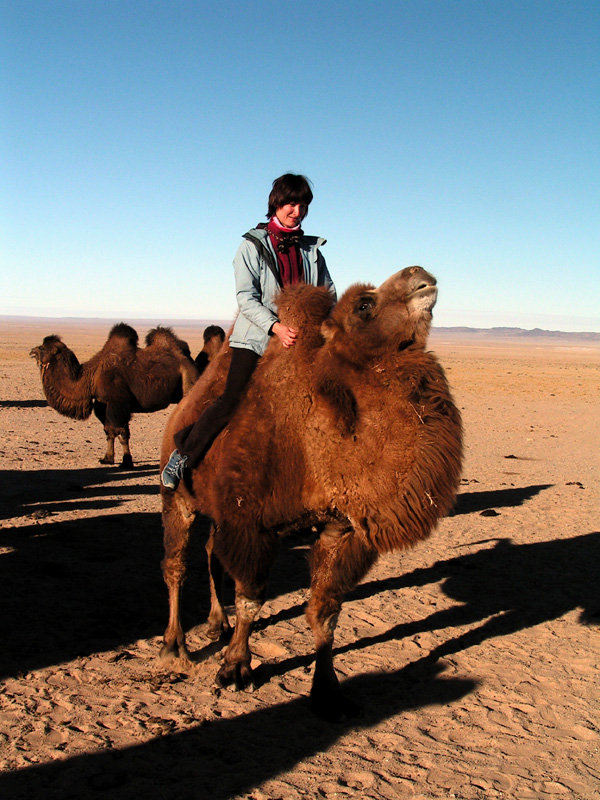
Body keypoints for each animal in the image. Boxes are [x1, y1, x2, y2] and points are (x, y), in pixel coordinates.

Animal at [31, 322, 199, 466]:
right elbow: (110, 432)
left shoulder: (118, 403)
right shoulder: (103, 404)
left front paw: (126, 462)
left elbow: (120, 432)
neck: (91, 377)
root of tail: (189, 361)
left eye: (43, 348)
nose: (32, 351)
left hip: (189, 380)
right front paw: (108, 458)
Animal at [159, 268, 464, 720]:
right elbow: (251, 599)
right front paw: (235, 669)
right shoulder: (252, 525)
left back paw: (216, 623)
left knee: (212, 553)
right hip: (177, 496)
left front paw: (328, 692)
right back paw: (173, 647)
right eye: (364, 304)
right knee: (176, 565)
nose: (420, 276)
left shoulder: (340, 529)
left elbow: (326, 611)